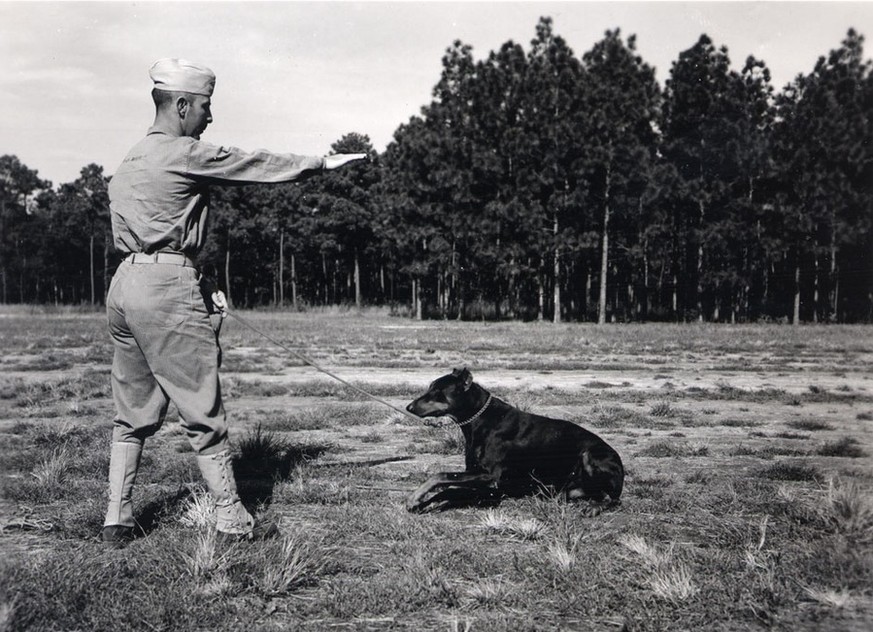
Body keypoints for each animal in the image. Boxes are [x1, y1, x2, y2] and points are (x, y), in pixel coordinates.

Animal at [406, 370, 624, 512]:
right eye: (429, 388)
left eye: (437, 392)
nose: (409, 407)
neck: (480, 419)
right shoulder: (479, 480)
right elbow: (448, 489)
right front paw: (421, 503)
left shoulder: (490, 478)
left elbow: (441, 475)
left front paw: (416, 495)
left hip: (590, 455)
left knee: (613, 498)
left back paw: (595, 507)